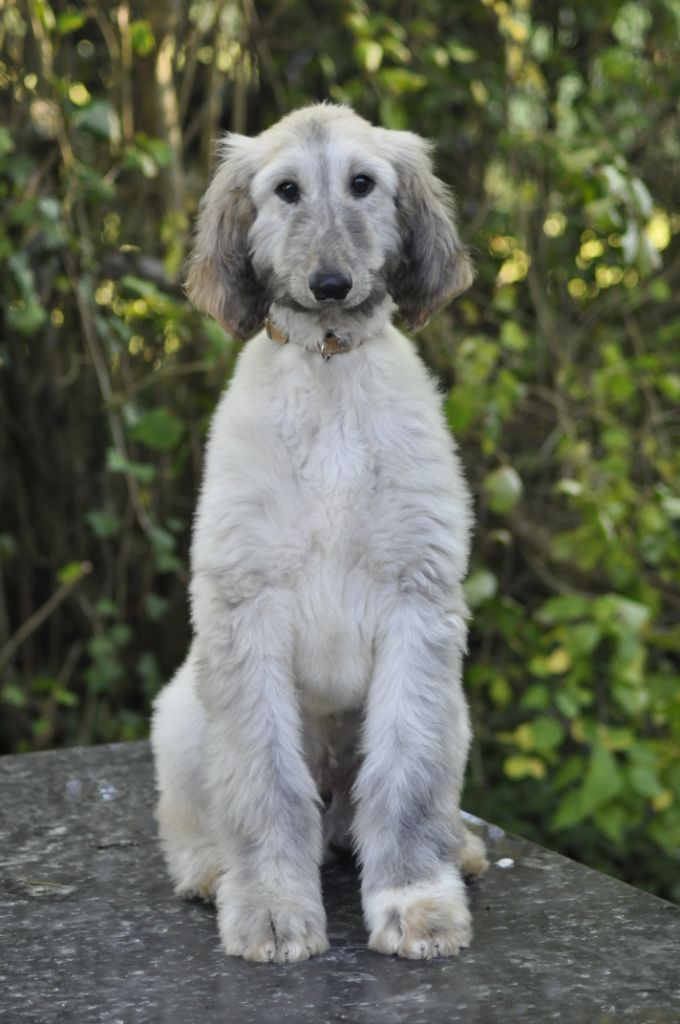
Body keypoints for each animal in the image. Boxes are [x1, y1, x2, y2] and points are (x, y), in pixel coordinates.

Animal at [151, 99, 485, 962]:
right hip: (184, 713)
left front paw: (415, 901)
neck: (331, 370)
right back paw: (211, 871)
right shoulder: (247, 608)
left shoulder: (416, 607)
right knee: (195, 817)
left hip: (457, 708)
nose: (329, 285)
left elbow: (406, 780)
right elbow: (263, 782)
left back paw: (459, 845)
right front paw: (272, 908)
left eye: (363, 184)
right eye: (287, 191)